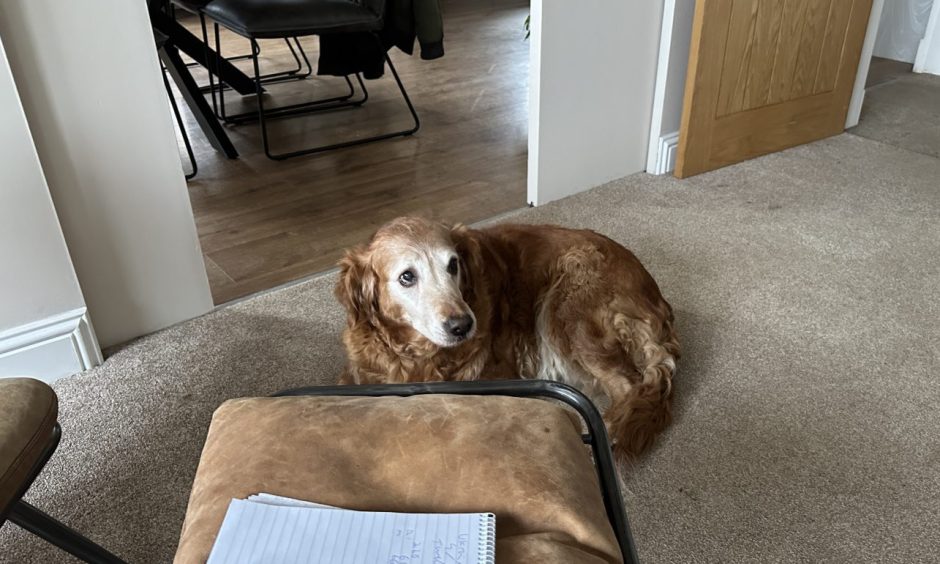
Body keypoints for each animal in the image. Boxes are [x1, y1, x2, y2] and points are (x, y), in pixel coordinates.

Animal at [334, 216, 680, 458]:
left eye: (453, 265)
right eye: (407, 277)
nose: (463, 326)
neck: (419, 356)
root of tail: (657, 297)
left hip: (568, 302)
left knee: (628, 386)